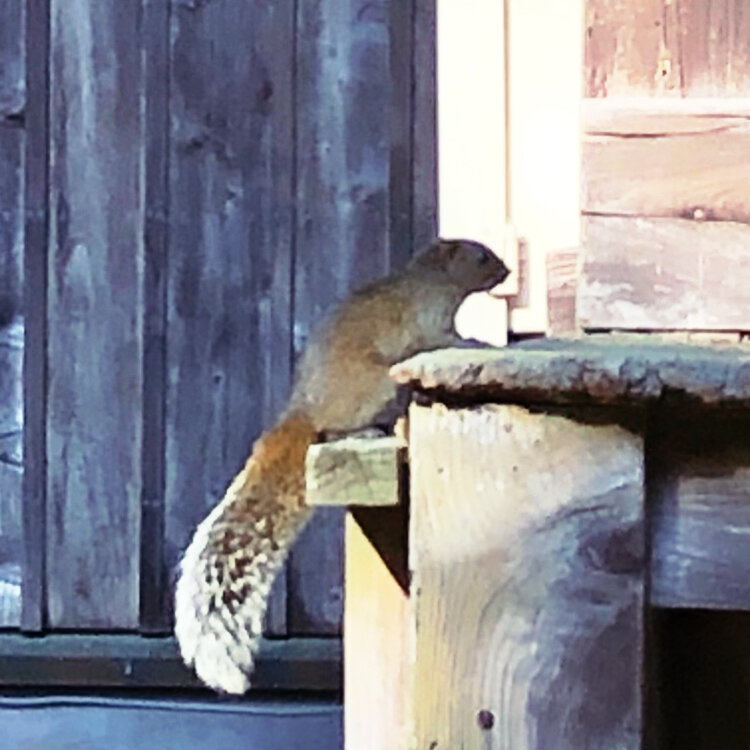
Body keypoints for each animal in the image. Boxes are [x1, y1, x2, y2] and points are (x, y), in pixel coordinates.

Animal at [174, 238, 510, 693]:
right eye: (481, 255)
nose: (507, 272)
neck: (433, 278)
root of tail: (306, 409)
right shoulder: (428, 320)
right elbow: (441, 340)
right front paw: (478, 343)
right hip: (374, 384)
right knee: (335, 429)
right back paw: (365, 430)